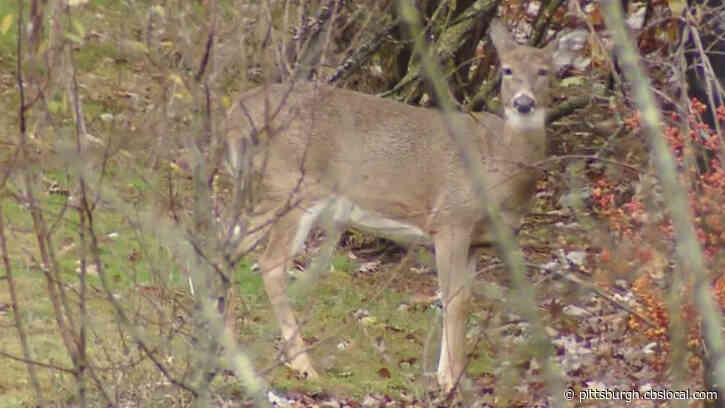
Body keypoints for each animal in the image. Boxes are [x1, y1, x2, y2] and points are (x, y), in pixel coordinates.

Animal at [224, 19, 587, 392]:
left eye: (546, 71)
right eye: (507, 69)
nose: (523, 103)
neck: (498, 165)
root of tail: (235, 113)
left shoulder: (477, 241)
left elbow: (462, 299)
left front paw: (449, 374)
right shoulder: (451, 219)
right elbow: (454, 299)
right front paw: (450, 380)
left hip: (262, 190)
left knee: (230, 244)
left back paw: (229, 344)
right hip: (291, 187)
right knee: (270, 263)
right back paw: (302, 364)